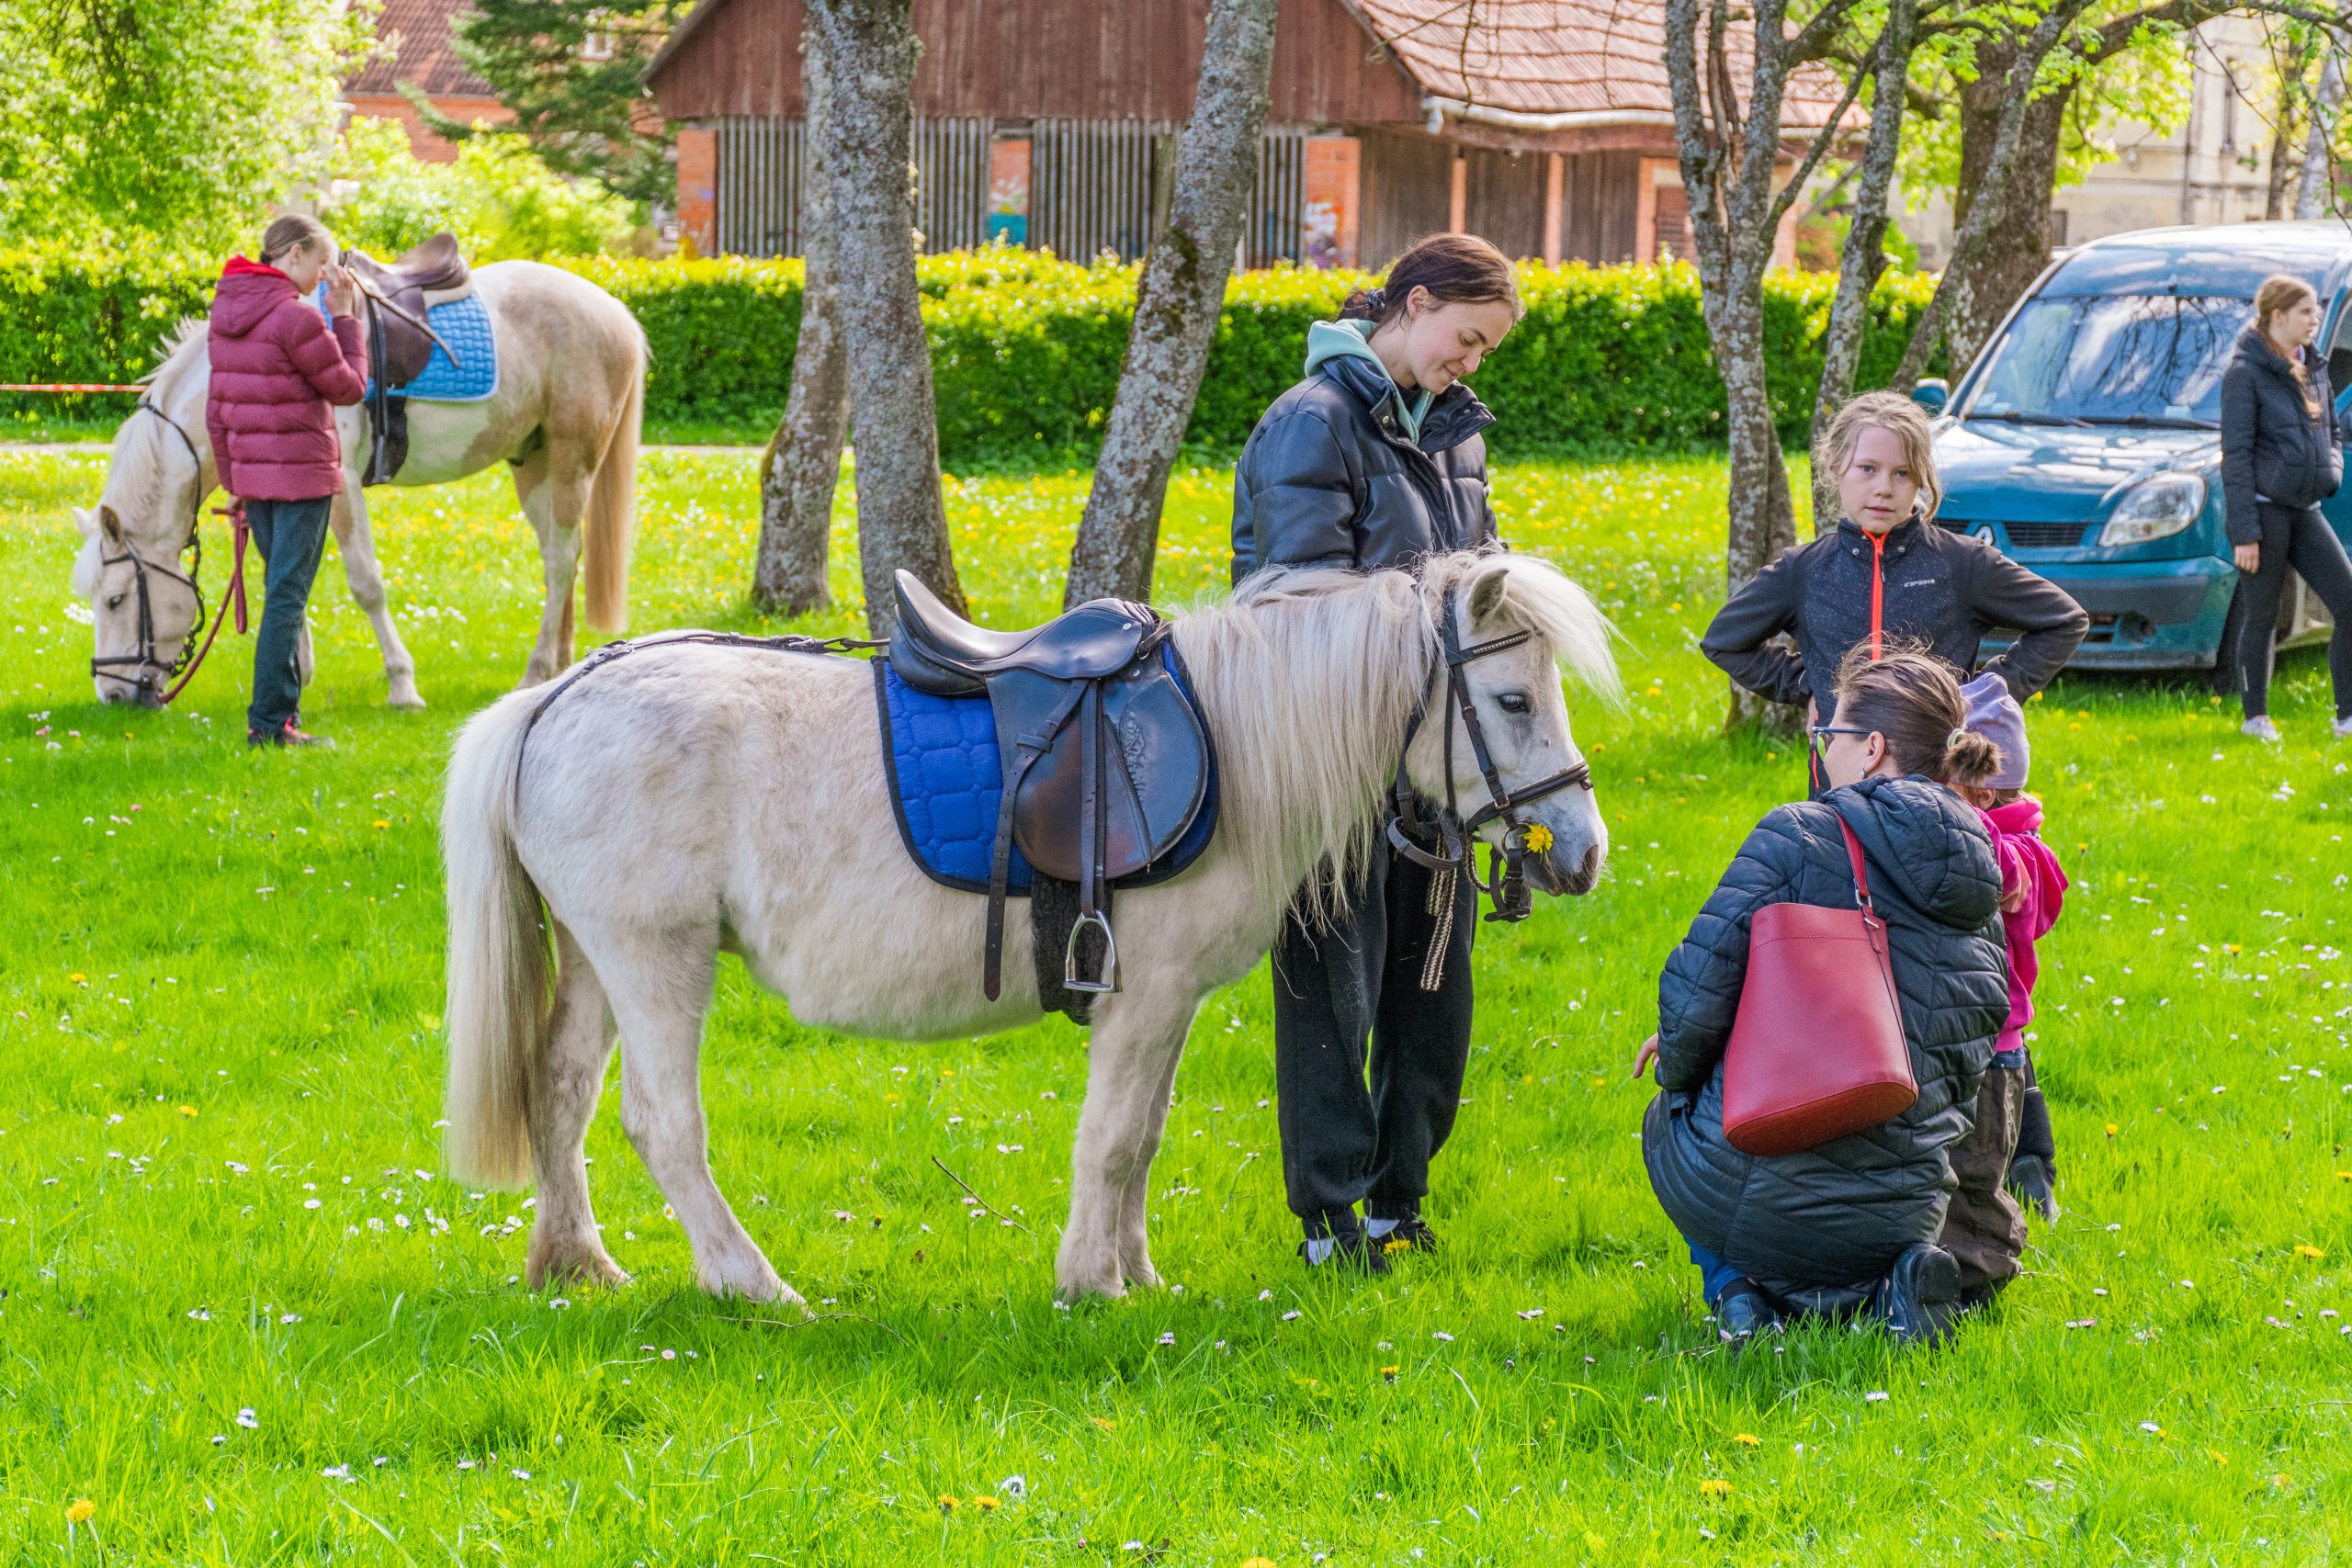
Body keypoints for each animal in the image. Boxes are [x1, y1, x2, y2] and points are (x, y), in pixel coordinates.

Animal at [70, 259, 646, 709]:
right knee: (559, 560)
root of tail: (616, 311)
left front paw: (402, 686)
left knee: (560, 559)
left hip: (572, 460)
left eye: (116, 600)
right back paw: (558, 668)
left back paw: (535, 670)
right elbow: (281, 577)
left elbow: (366, 584)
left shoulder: (340, 486)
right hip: (534, 464)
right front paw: (296, 672)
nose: (112, 694)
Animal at [438, 550, 1620, 1304]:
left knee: (559, 1096)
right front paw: (1092, 1283)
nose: (1581, 850)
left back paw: (575, 1263)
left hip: (597, 962)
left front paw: (1136, 1275)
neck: (1233, 740)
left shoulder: (1165, 1006)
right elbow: (1112, 1141)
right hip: (656, 961)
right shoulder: (1144, 999)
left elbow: (1142, 1140)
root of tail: (551, 701)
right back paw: (750, 1282)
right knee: (662, 1126)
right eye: (1512, 700)